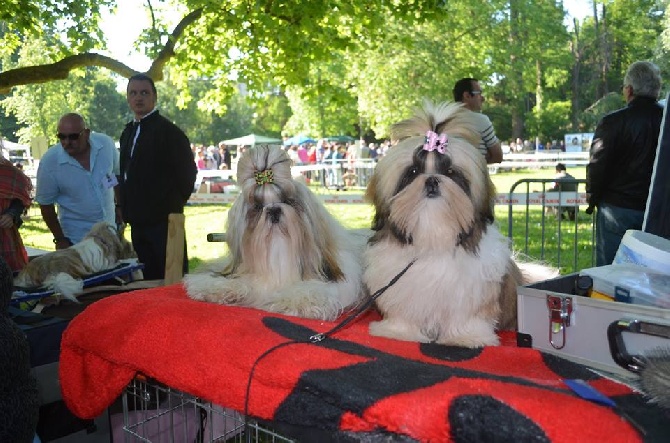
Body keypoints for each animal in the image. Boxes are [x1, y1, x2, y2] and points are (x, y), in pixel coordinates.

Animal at [184, 146, 368, 322]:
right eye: (258, 207)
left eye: (288, 201)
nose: (273, 210)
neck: (278, 252)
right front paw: (218, 290)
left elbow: (307, 292)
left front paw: (287, 301)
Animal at [364, 102, 552, 348]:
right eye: (413, 172)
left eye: (451, 172)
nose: (432, 179)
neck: (434, 235)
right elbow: (404, 313)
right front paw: (399, 332)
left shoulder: (472, 292)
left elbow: (466, 317)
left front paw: (466, 336)